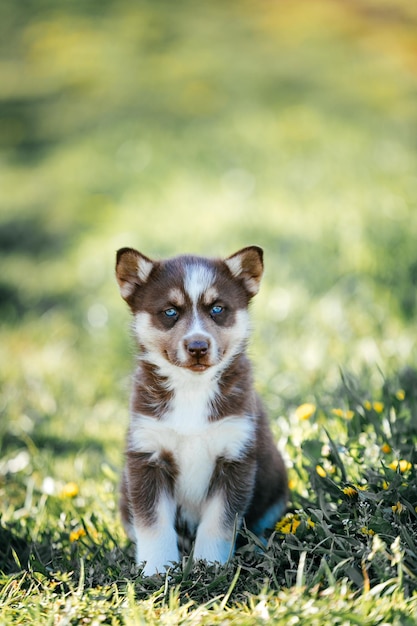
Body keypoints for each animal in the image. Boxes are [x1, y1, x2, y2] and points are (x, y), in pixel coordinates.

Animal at [115, 245, 288, 576]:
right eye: (170, 312)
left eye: (217, 309)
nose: (197, 346)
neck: (192, 390)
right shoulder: (147, 456)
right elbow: (153, 524)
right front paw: (156, 569)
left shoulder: (235, 455)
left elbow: (218, 523)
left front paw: (210, 566)